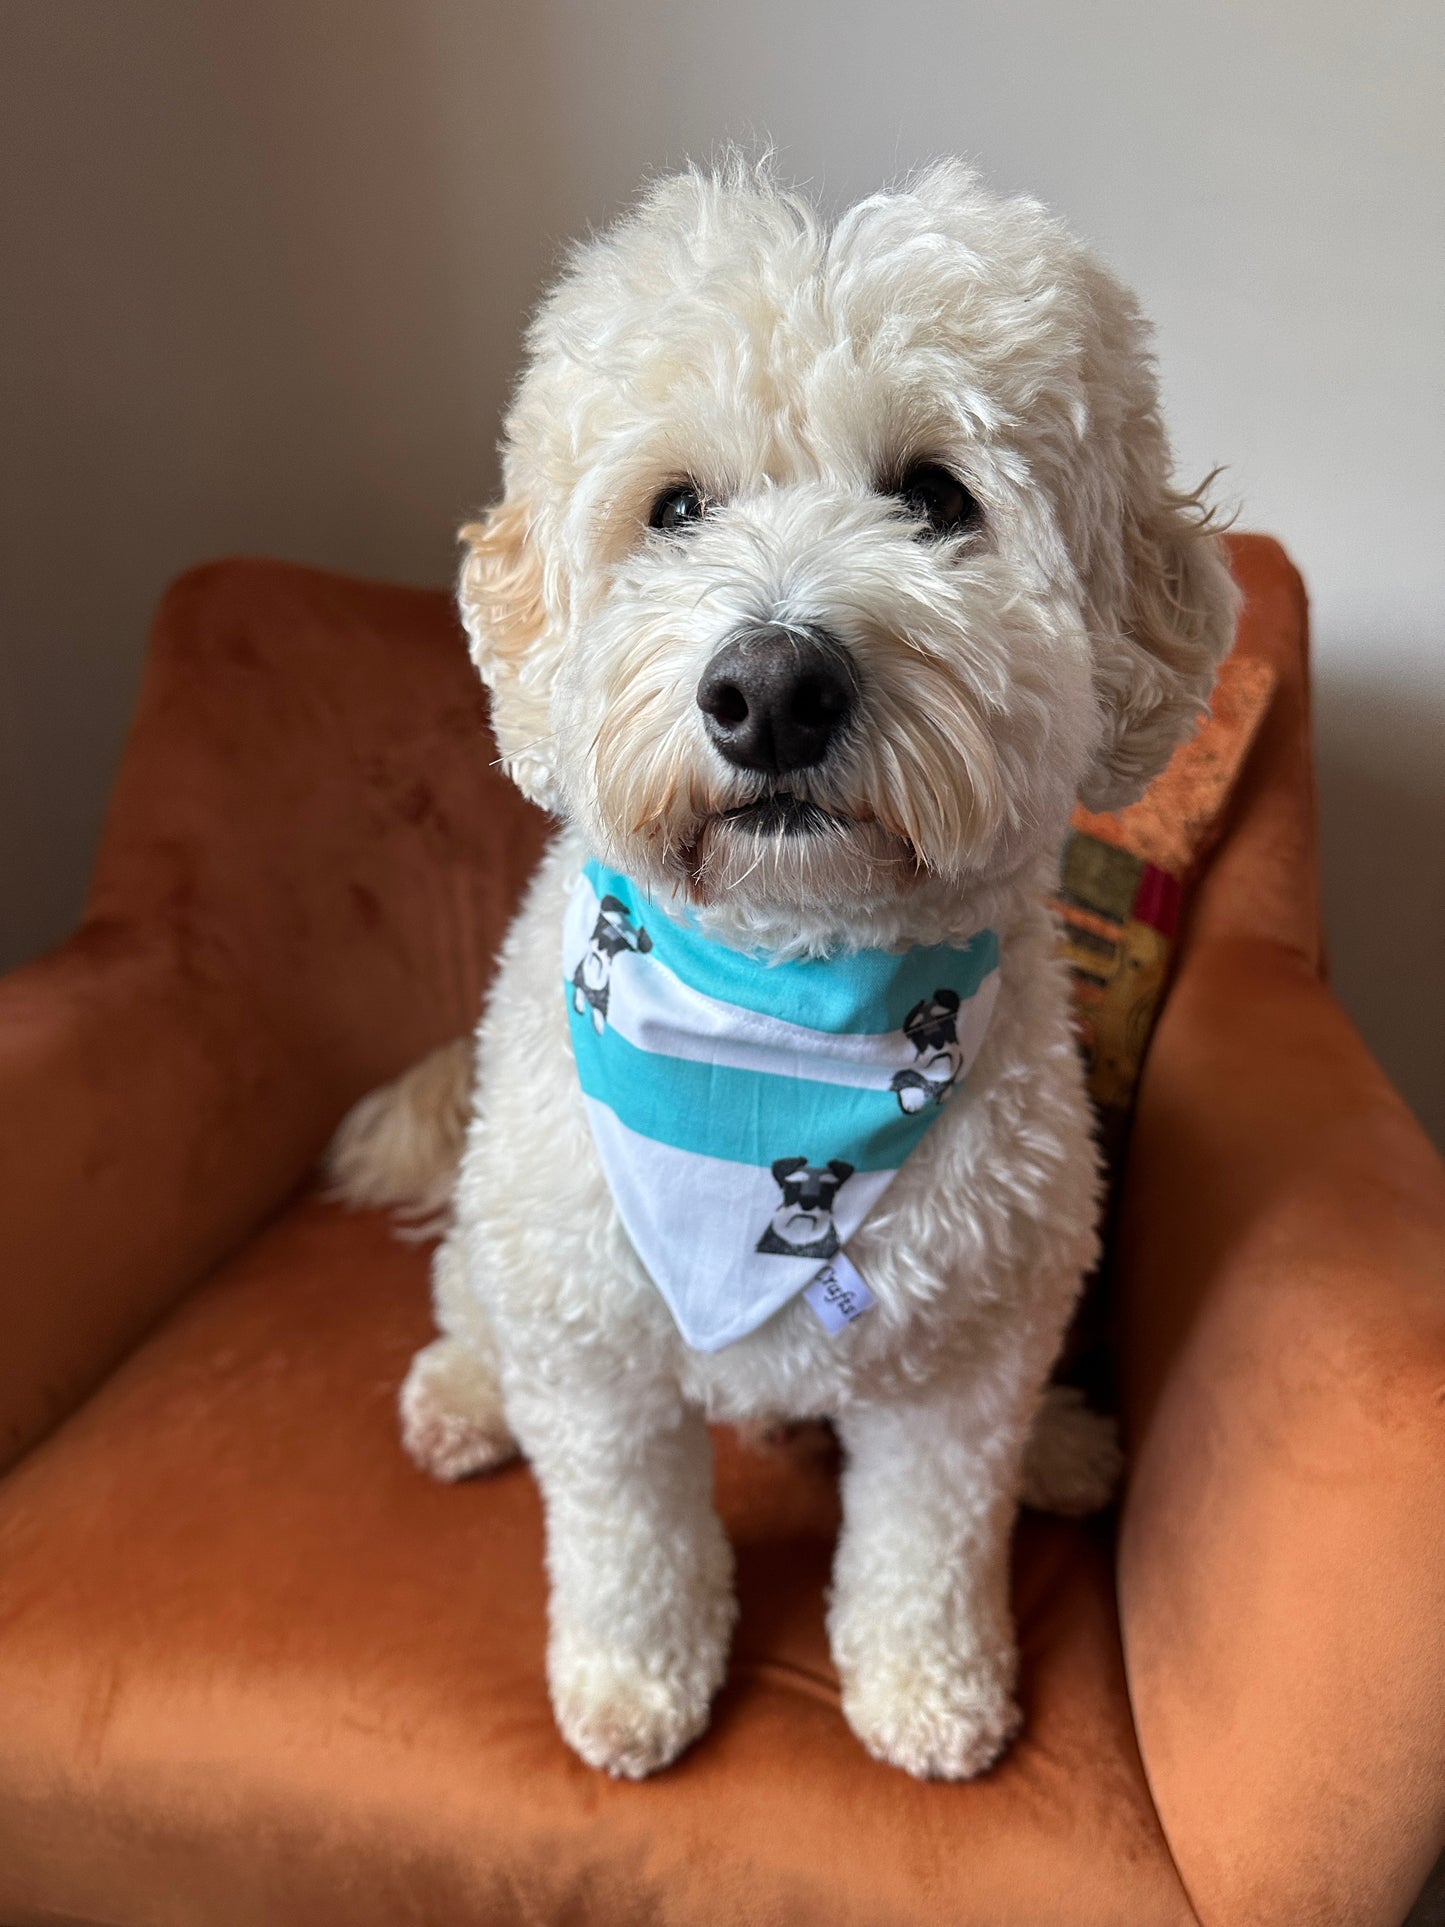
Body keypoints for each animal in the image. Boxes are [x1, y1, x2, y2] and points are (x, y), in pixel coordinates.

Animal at [333, 158, 1240, 1780]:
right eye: (675, 507)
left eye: (935, 497)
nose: (769, 687)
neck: (790, 1013)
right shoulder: (601, 1350)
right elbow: (627, 1536)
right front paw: (632, 1681)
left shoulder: (960, 1366)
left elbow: (930, 1538)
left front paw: (930, 1686)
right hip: (513, 1228)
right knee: (465, 1292)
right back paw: (461, 1392)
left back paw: (1064, 1447)